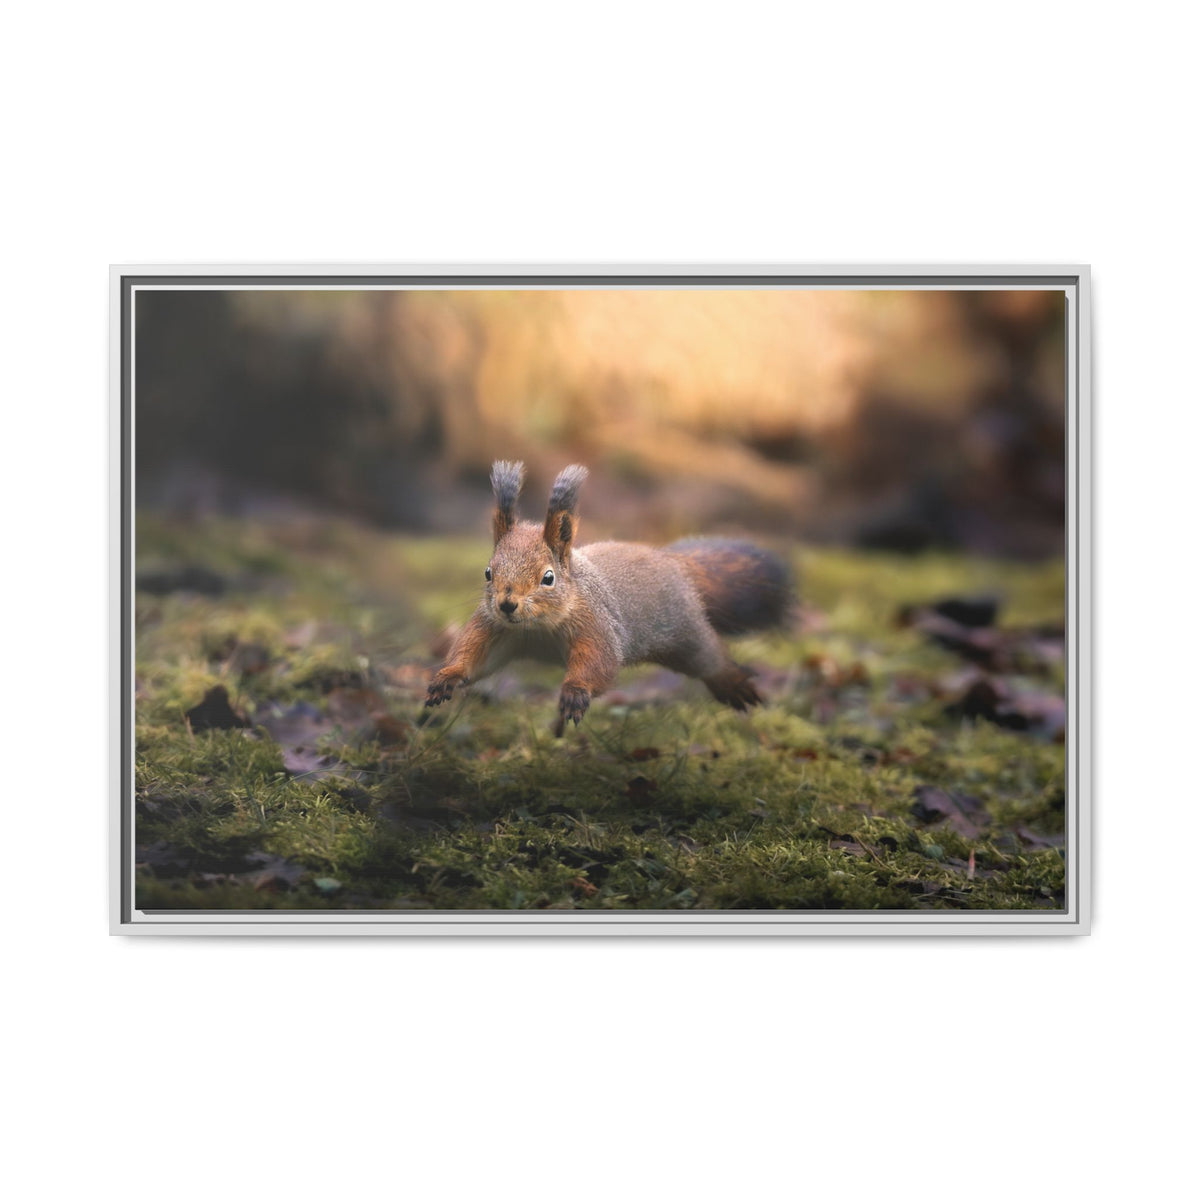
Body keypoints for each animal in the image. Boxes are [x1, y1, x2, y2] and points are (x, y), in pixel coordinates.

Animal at [425, 461, 794, 734]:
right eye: (488, 572)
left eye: (548, 578)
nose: (506, 604)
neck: (537, 628)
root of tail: (673, 562)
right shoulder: (495, 629)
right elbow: (473, 655)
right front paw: (446, 677)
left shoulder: (595, 624)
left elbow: (599, 662)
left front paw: (575, 691)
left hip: (685, 631)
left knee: (710, 656)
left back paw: (733, 683)